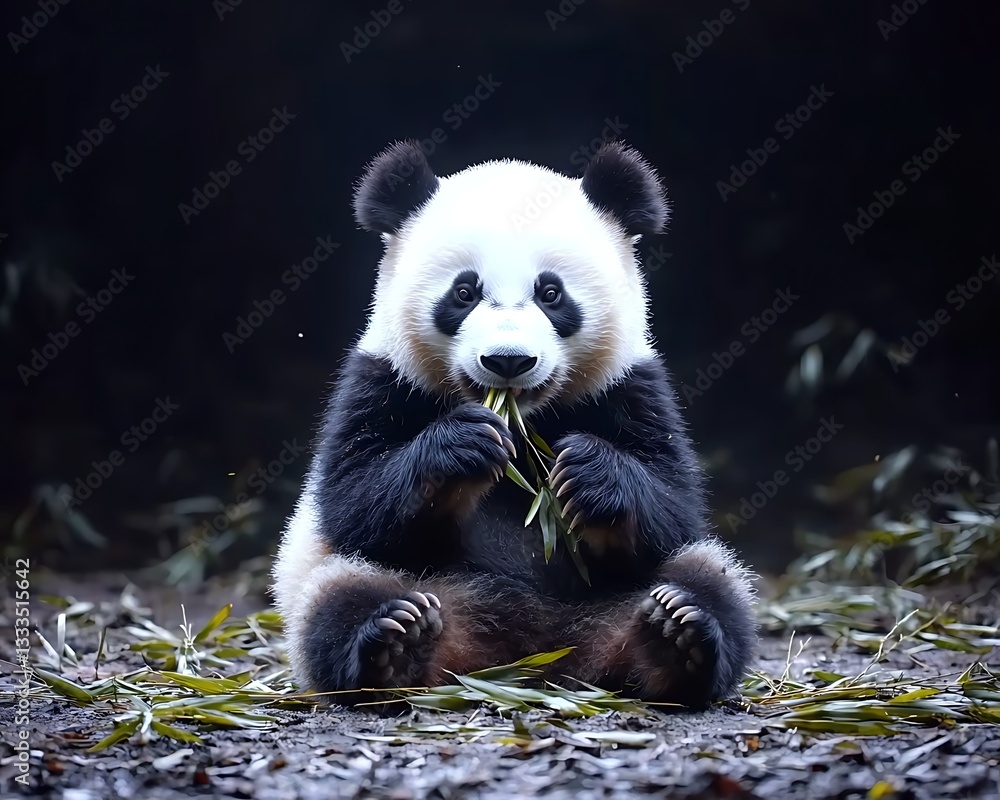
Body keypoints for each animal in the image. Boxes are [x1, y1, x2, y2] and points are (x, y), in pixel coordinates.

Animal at [271, 140, 756, 708]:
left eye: (551, 293)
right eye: (464, 293)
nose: (508, 360)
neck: (527, 420)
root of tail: (529, 656)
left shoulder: (630, 386)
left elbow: (674, 505)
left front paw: (589, 472)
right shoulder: (382, 378)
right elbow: (353, 500)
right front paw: (463, 446)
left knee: (707, 580)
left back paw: (675, 637)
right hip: (356, 580)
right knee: (339, 597)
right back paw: (396, 642)